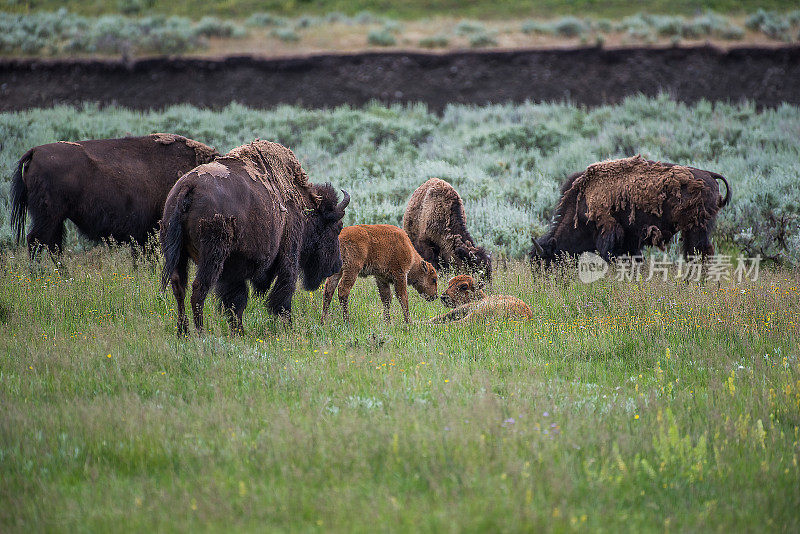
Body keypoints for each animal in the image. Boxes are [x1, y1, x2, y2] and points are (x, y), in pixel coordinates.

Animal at [161, 142, 348, 336]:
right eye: (337, 227)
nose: (337, 265)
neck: (302, 207)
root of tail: (188, 186)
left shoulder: (233, 269)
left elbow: (236, 301)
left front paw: (239, 331)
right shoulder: (289, 255)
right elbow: (283, 293)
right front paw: (288, 326)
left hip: (177, 254)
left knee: (179, 288)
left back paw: (183, 332)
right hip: (211, 257)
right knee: (198, 290)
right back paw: (200, 333)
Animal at [532, 154, 732, 264]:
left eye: (545, 263)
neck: (582, 205)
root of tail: (710, 175)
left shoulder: (610, 238)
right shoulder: (631, 241)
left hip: (695, 228)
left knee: (699, 253)